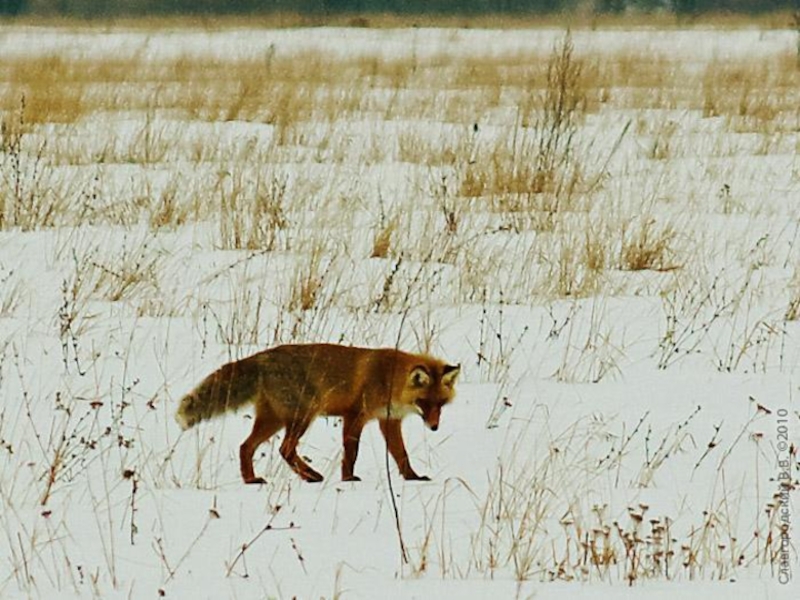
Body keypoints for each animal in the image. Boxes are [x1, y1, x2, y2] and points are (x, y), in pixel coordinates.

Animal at [177, 342, 460, 482]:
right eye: (424, 401)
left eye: (440, 404)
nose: (434, 427)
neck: (388, 379)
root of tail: (262, 357)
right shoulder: (355, 415)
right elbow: (351, 452)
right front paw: (349, 479)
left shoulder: (388, 420)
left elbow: (401, 455)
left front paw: (413, 478)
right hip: (303, 415)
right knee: (285, 449)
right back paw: (310, 476)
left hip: (274, 420)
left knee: (246, 447)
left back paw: (252, 479)